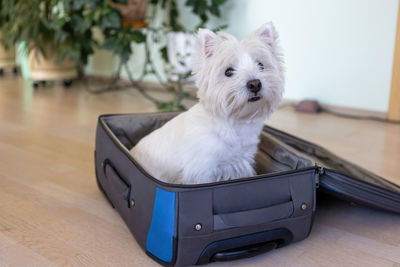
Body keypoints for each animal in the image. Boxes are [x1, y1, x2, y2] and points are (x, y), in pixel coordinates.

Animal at [131, 22, 284, 184]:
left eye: (261, 65)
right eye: (228, 71)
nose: (255, 84)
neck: (234, 124)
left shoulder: (239, 164)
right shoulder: (202, 171)